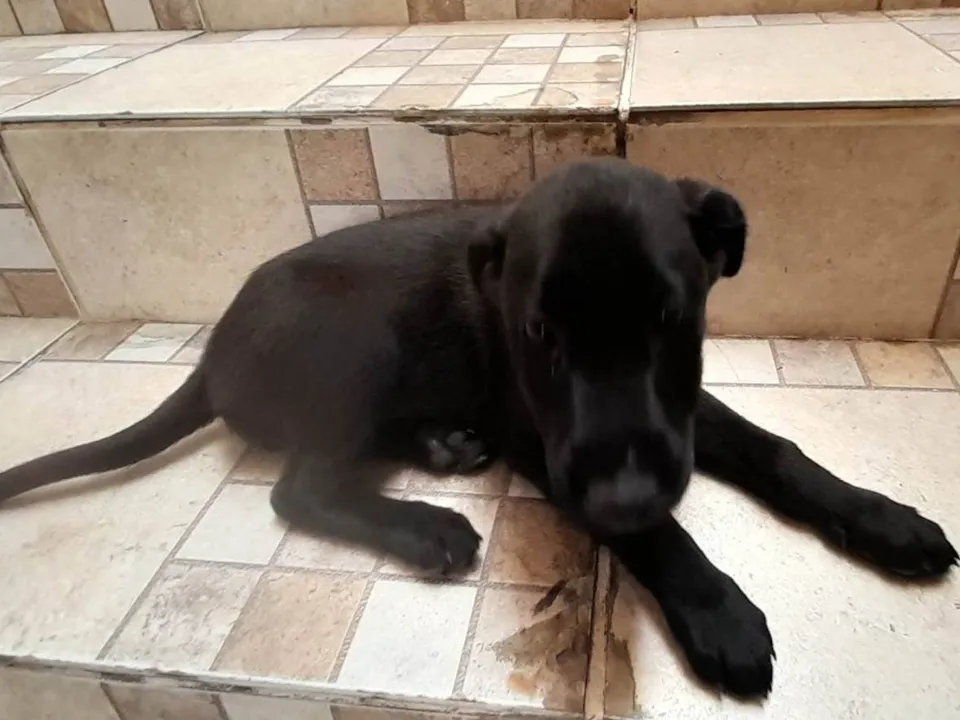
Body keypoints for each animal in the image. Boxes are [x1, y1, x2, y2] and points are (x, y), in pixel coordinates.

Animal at [0, 158, 955, 698]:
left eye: (670, 320)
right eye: (539, 334)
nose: (624, 494)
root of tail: (211, 356)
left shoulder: (678, 413)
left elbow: (776, 450)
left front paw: (884, 520)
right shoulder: (549, 445)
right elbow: (660, 535)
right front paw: (717, 611)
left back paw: (443, 447)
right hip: (359, 343)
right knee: (300, 485)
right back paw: (427, 526)